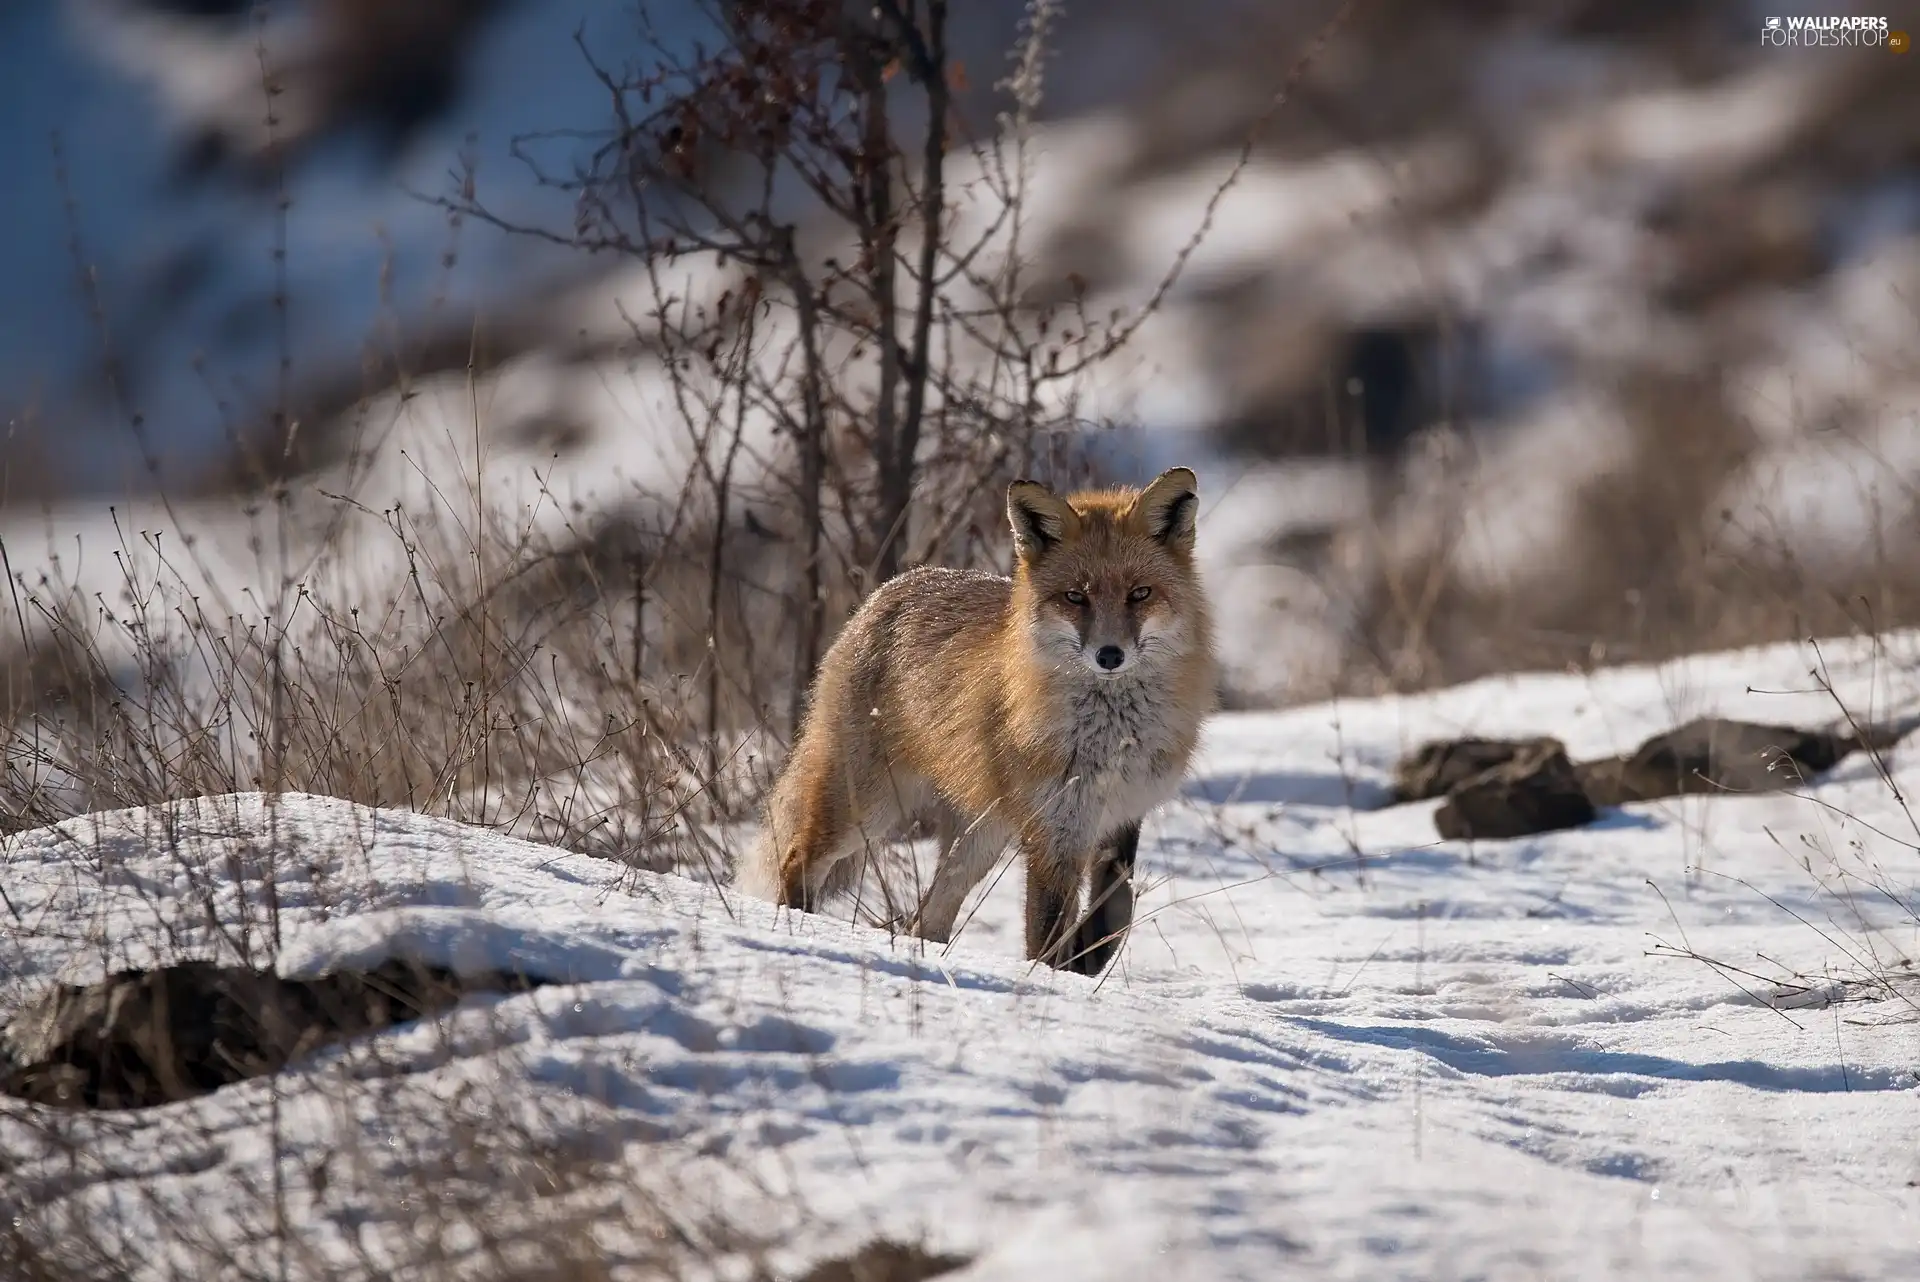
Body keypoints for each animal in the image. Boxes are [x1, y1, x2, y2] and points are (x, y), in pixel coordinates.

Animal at [733, 466, 1213, 974]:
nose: (1109, 655)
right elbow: (1046, 933)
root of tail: (887, 592)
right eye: (1075, 597)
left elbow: (1118, 906)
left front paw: (1090, 957)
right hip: (868, 807)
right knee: (798, 861)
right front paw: (1052, 980)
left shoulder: (1122, 816)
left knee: (926, 919)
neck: (1111, 740)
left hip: (979, 838)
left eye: (1140, 594)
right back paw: (800, 929)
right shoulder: (1054, 831)